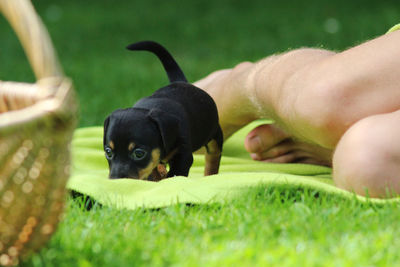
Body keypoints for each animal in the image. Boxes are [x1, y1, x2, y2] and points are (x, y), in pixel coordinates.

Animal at [102, 40, 222, 181]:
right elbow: (152, 171)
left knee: (213, 155)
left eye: (139, 154)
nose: (116, 181)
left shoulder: (183, 156)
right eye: (108, 152)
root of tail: (181, 81)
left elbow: (174, 175)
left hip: (214, 134)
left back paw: (210, 174)